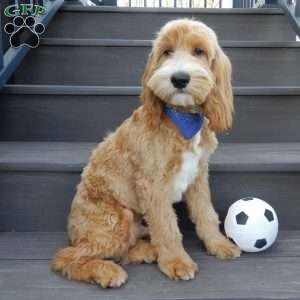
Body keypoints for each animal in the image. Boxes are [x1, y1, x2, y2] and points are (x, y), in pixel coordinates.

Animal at [52, 19, 241, 288]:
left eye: (199, 51)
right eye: (167, 51)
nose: (179, 78)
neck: (182, 118)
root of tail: (73, 230)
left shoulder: (198, 177)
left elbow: (206, 213)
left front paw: (219, 244)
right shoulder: (153, 185)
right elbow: (166, 227)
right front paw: (177, 262)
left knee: (123, 248)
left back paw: (146, 251)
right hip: (116, 220)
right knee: (67, 256)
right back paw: (107, 271)